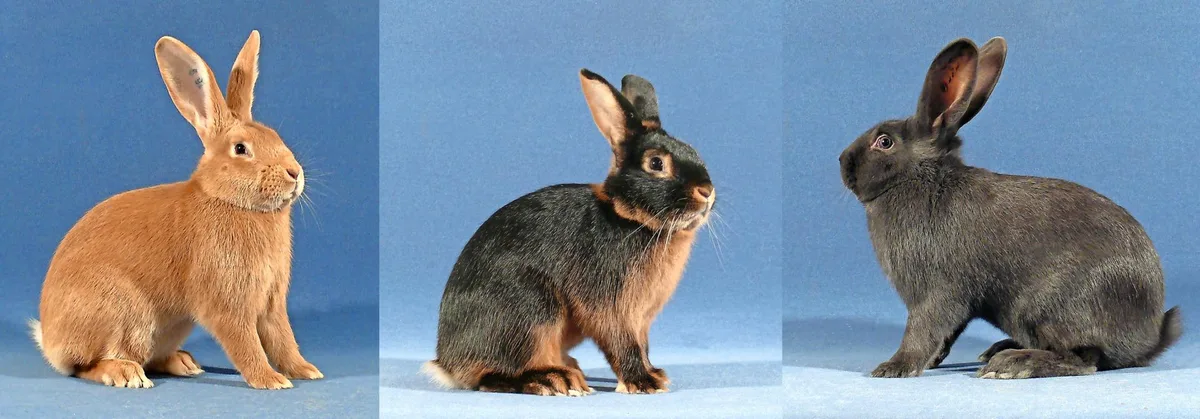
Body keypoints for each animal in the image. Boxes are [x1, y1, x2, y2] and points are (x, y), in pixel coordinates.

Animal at [29, 30, 322, 390]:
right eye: (241, 149)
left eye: (275, 136)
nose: (294, 173)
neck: (230, 201)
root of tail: (50, 340)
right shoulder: (227, 303)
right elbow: (246, 343)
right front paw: (270, 380)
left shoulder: (272, 303)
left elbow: (283, 340)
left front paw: (305, 370)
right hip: (123, 313)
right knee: (85, 365)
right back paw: (126, 373)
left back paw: (184, 363)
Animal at [422, 69, 715, 396]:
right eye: (656, 163)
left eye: (693, 151)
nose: (707, 191)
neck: (629, 218)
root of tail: (448, 362)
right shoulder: (613, 309)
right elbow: (621, 344)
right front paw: (643, 383)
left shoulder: (642, 321)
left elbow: (643, 346)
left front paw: (655, 374)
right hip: (531, 308)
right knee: (492, 376)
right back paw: (555, 379)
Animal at [838, 37, 1182, 379]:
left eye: (884, 142)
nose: (842, 162)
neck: (919, 177)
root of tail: (1149, 339)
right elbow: (946, 334)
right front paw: (930, 362)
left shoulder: (937, 293)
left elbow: (923, 330)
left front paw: (893, 368)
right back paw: (999, 350)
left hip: (1043, 306)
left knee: (1083, 360)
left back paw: (1009, 364)